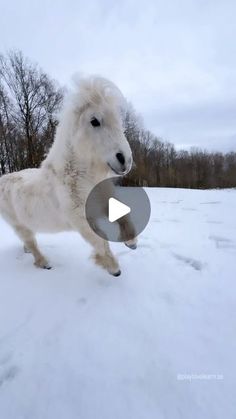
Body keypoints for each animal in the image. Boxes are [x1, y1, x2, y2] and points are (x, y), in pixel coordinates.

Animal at [0, 77, 136, 278]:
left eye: (118, 119)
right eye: (95, 121)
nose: (125, 160)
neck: (79, 177)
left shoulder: (105, 200)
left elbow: (123, 214)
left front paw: (131, 242)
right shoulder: (81, 219)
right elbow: (100, 242)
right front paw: (113, 268)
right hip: (17, 224)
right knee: (31, 241)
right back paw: (44, 263)